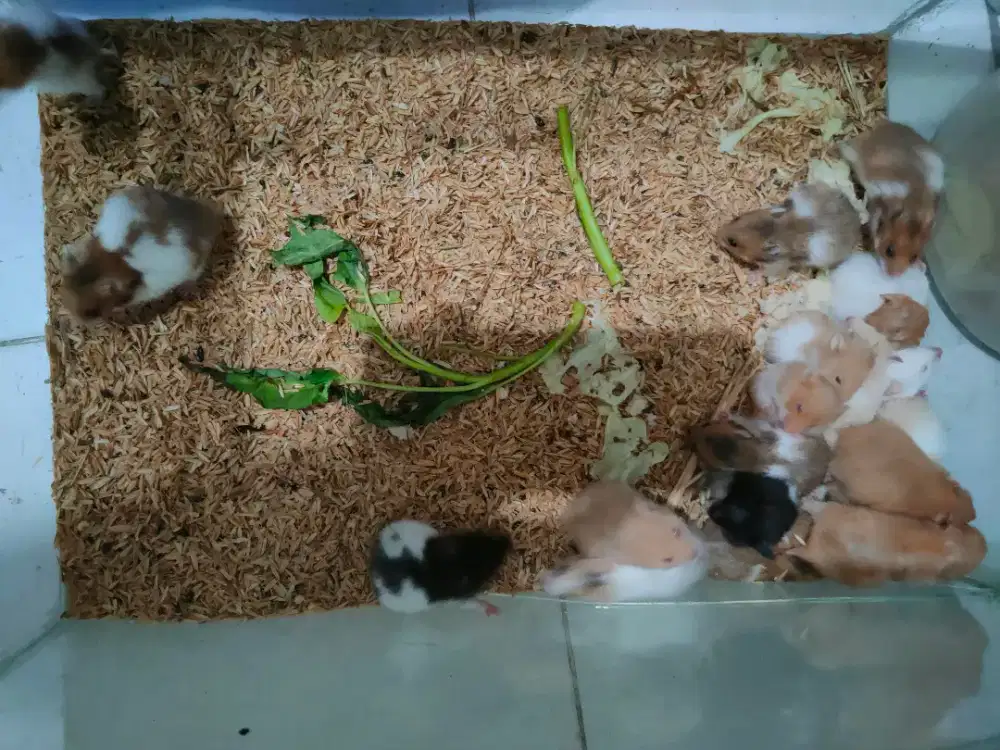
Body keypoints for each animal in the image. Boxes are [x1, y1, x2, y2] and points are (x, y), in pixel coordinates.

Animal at [370, 520, 511, 613]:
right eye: (491, 566)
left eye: (480, 538)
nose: (508, 540)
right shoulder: (455, 599)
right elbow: (472, 603)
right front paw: (494, 609)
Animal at [716, 182, 860, 277]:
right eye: (736, 218)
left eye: (733, 242)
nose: (715, 234)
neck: (776, 230)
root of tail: (857, 220)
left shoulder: (778, 264)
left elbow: (765, 273)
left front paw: (750, 276)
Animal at [839, 120, 943, 276]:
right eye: (889, 251)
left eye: (913, 257)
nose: (892, 276)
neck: (913, 207)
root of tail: (885, 124)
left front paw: (921, 266)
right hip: (852, 151)